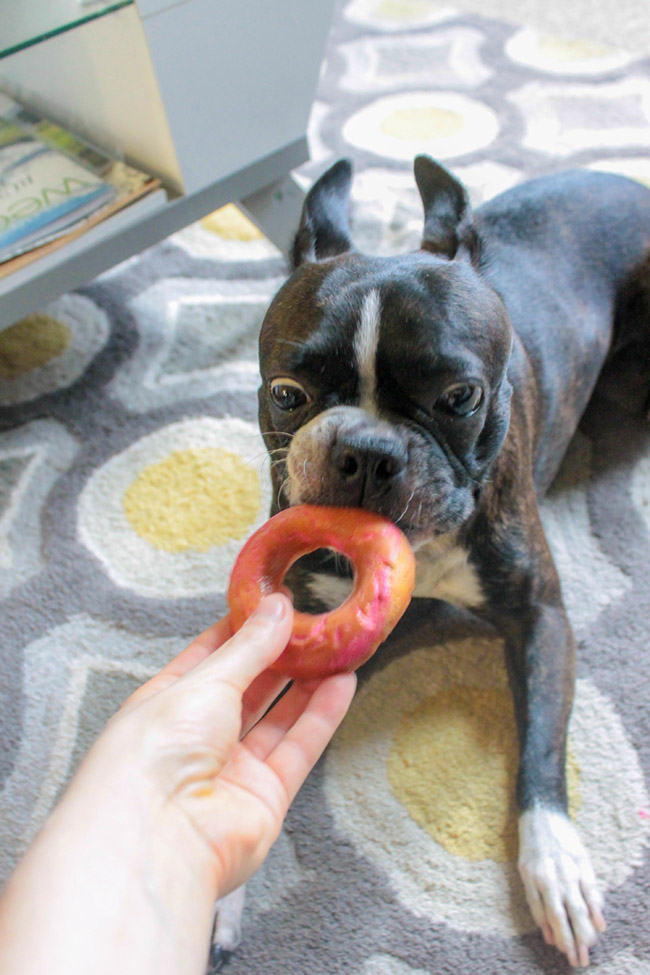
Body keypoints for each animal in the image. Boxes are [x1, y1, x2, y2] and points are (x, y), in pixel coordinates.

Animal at [211, 158, 648, 968]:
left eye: (461, 396)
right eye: (287, 394)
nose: (367, 451)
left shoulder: (542, 617)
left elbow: (542, 742)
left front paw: (557, 864)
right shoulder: (309, 625)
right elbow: (254, 748)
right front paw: (222, 887)